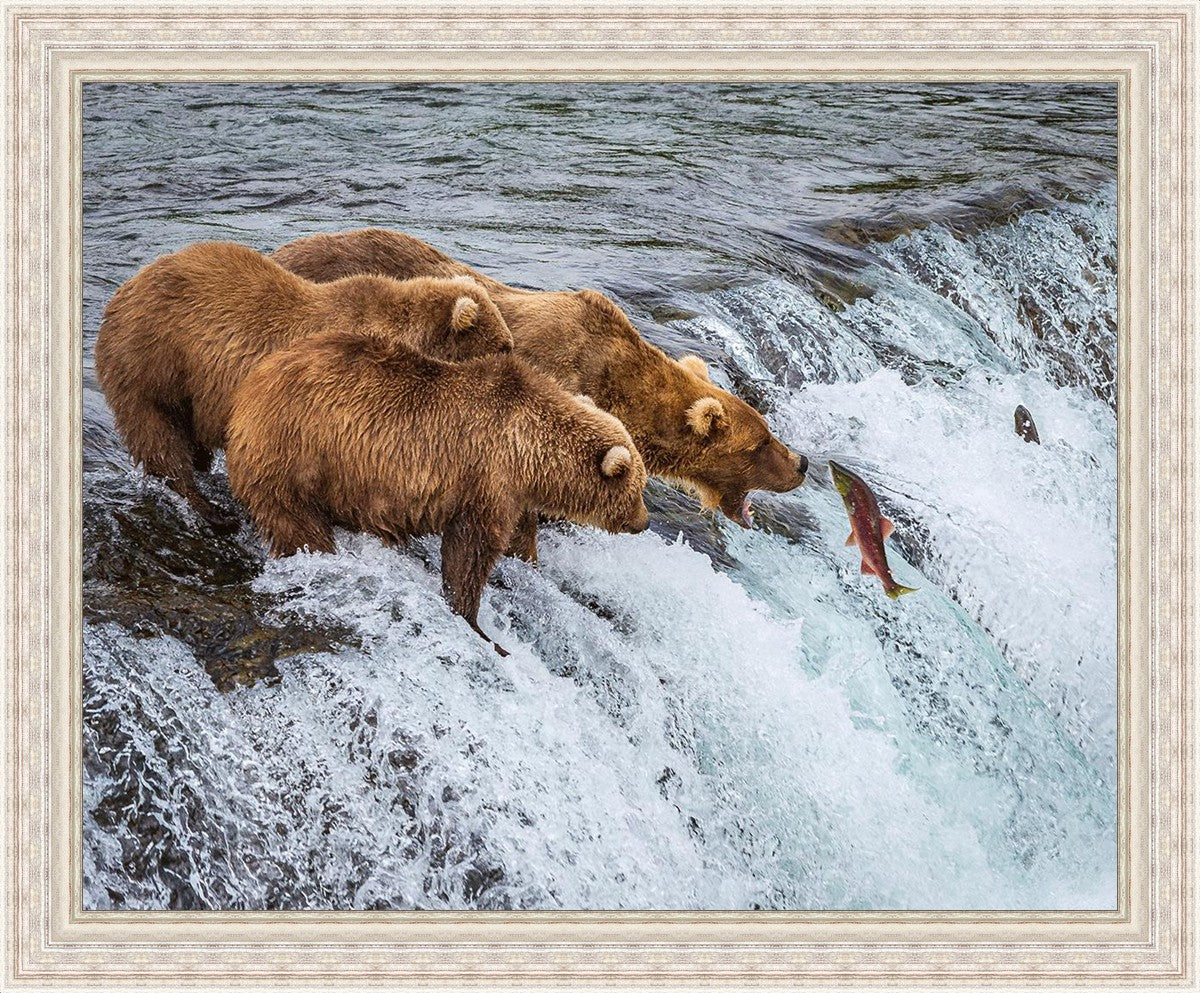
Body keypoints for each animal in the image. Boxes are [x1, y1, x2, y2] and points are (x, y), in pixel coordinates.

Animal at [94, 240, 513, 530]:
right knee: (158, 437)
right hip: (152, 362)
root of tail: (124, 290)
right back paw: (212, 511)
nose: (515, 361)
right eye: (504, 346)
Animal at [224, 330, 649, 655]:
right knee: (297, 523)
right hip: (296, 455)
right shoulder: (486, 477)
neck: (529, 451)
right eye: (638, 488)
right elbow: (470, 551)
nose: (644, 522)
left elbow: (517, 538)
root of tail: (249, 389)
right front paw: (477, 624)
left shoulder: (512, 493)